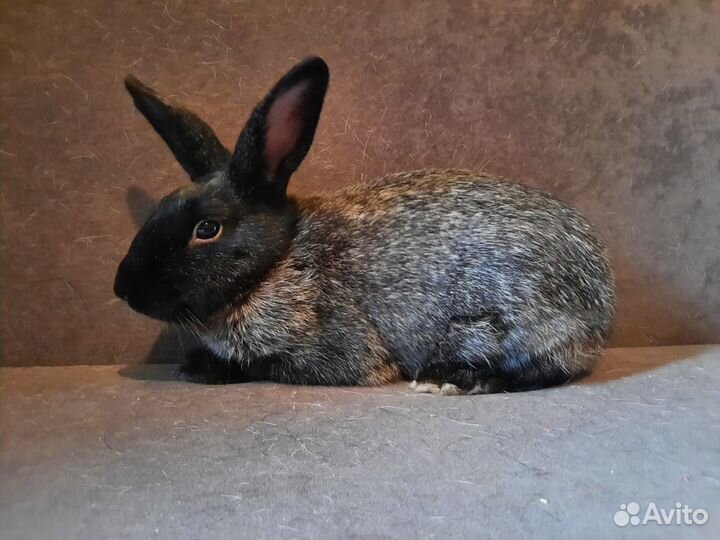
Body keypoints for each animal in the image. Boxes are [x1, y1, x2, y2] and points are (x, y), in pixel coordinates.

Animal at [114, 56, 616, 395]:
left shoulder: (334, 349)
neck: (277, 261)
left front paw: (202, 368)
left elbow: (261, 366)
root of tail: (602, 304)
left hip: (501, 323)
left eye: (207, 229)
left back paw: (451, 378)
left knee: (547, 369)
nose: (123, 289)